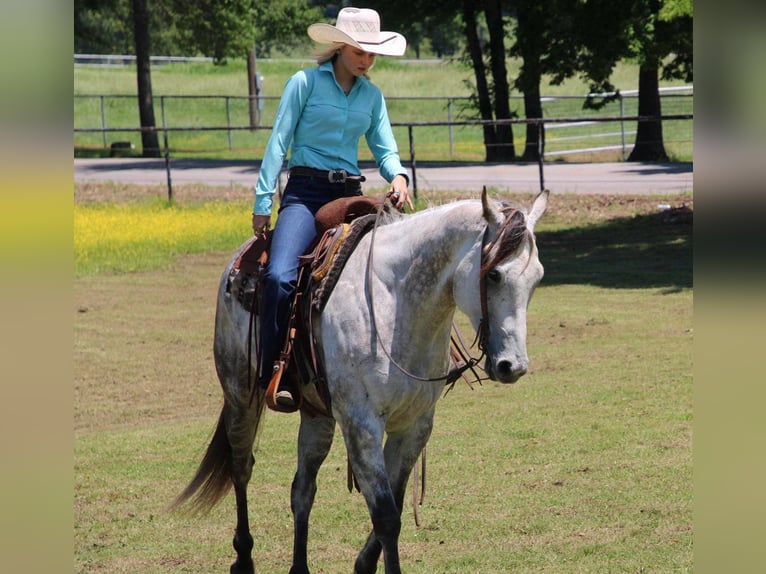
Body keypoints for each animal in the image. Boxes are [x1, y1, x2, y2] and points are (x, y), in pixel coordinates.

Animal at [173, 188, 548, 574]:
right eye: (494, 275)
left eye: (537, 278)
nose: (512, 366)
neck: (396, 303)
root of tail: (241, 258)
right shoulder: (361, 425)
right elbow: (386, 516)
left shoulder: (414, 426)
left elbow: (394, 504)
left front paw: (364, 564)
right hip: (240, 394)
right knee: (241, 467)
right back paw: (244, 557)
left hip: (317, 415)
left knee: (302, 489)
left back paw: (299, 567)